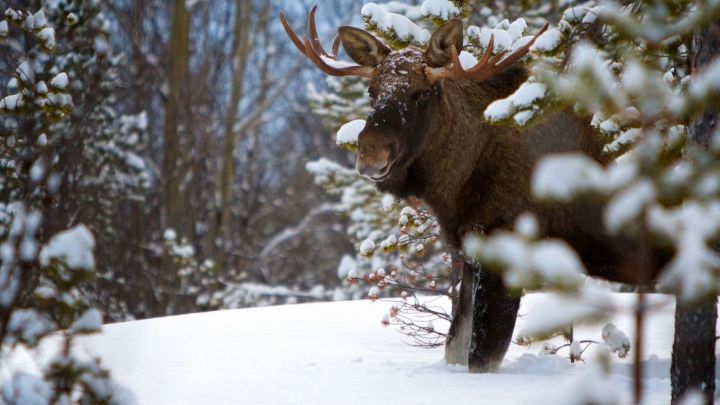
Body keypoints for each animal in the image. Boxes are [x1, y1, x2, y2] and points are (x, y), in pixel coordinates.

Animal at [282, 7, 668, 372]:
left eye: (421, 93)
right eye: (371, 92)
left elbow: (481, 357)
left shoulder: (507, 248)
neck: (457, 183)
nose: (370, 154)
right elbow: (455, 347)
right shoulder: (470, 250)